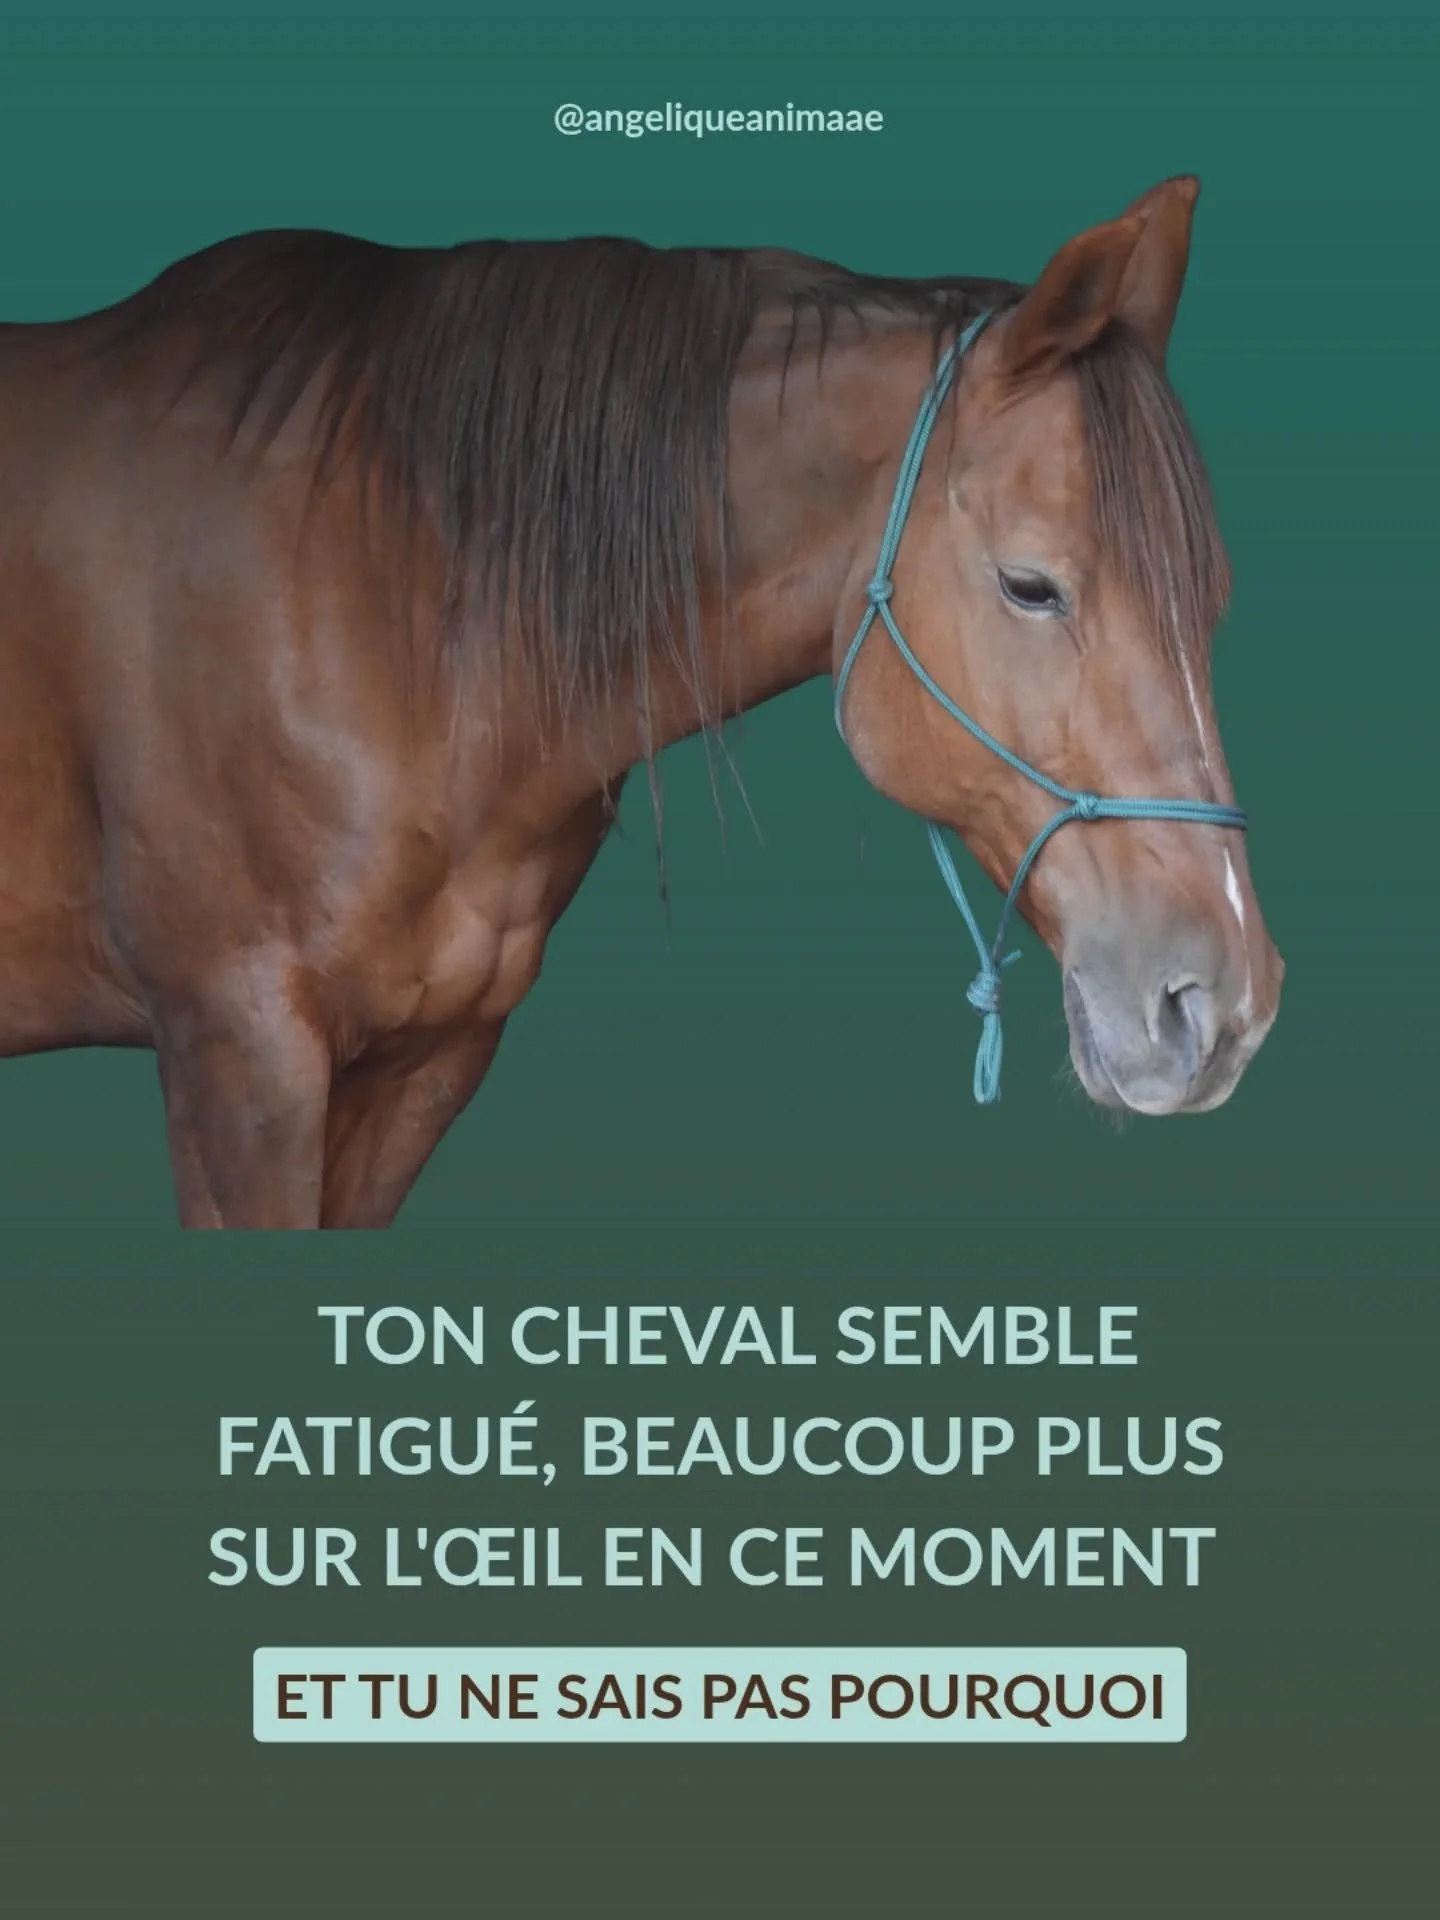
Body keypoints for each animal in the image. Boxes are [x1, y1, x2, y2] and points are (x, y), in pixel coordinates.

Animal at [0, 175, 1283, 1228]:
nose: (1221, 1008)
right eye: (1031, 586)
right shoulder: (238, 1055)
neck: (382, 582)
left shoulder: (420, 1062)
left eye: (1213, 599)